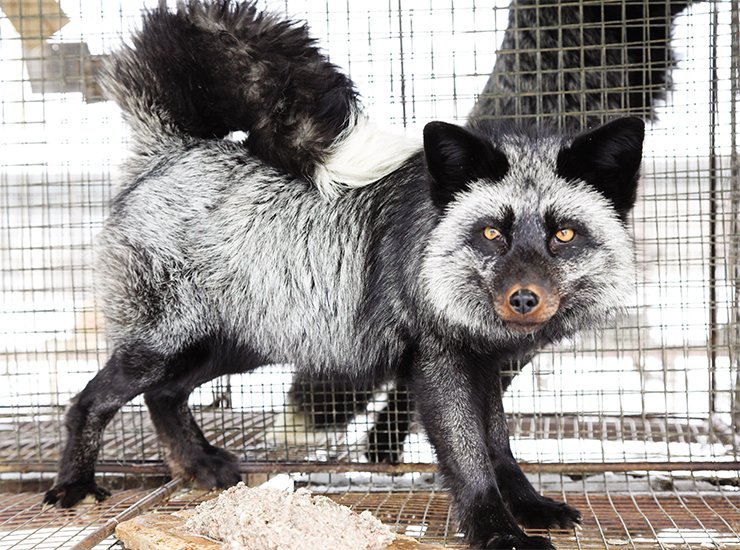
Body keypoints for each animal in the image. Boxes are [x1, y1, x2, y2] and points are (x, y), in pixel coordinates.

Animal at [44, 1, 644, 548]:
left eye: (563, 235)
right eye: (492, 233)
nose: (524, 299)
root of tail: (173, 148)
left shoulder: (485, 363)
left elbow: (500, 447)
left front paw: (529, 507)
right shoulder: (439, 364)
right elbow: (470, 458)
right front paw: (497, 532)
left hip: (235, 344)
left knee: (165, 396)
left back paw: (202, 465)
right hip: (164, 344)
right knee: (90, 400)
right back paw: (74, 486)